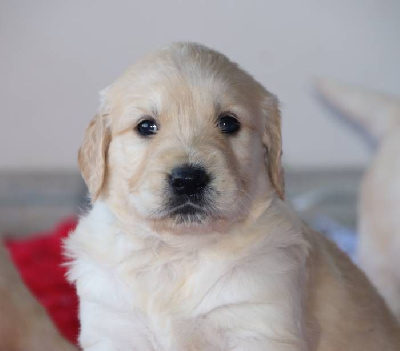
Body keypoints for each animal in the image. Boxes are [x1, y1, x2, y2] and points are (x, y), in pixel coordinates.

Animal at [65, 44, 400, 351]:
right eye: (146, 126)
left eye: (229, 123)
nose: (188, 180)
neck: (178, 254)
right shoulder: (113, 325)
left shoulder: (258, 321)